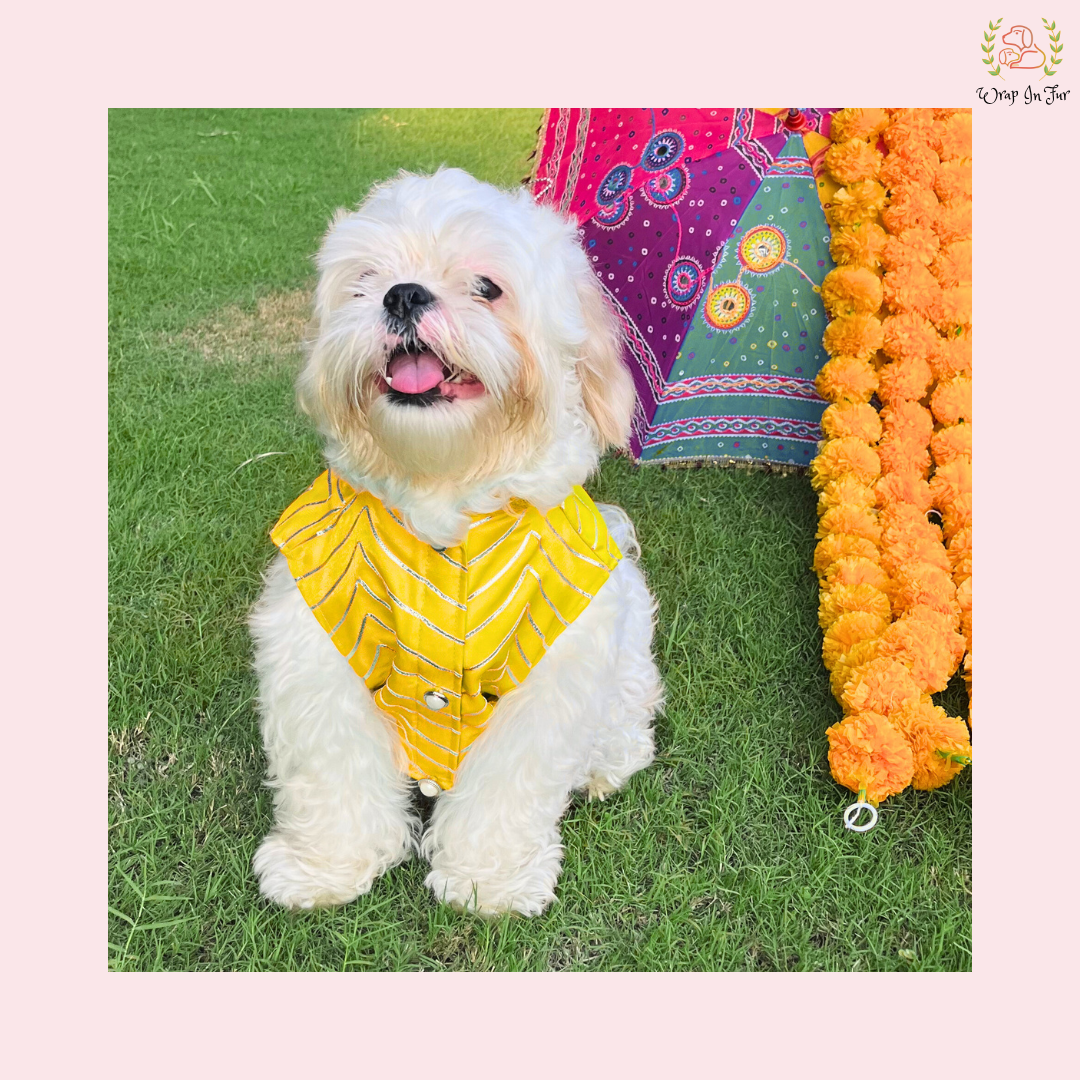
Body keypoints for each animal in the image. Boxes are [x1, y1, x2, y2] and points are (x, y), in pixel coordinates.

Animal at [248, 168, 660, 911]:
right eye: (366, 280)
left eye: (488, 287)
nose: (403, 293)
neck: (444, 490)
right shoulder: (319, 636)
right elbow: (332, 768)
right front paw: (324, 867)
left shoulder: (548, 668)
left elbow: (508, 785)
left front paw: (486, 878)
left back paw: (604, 764)